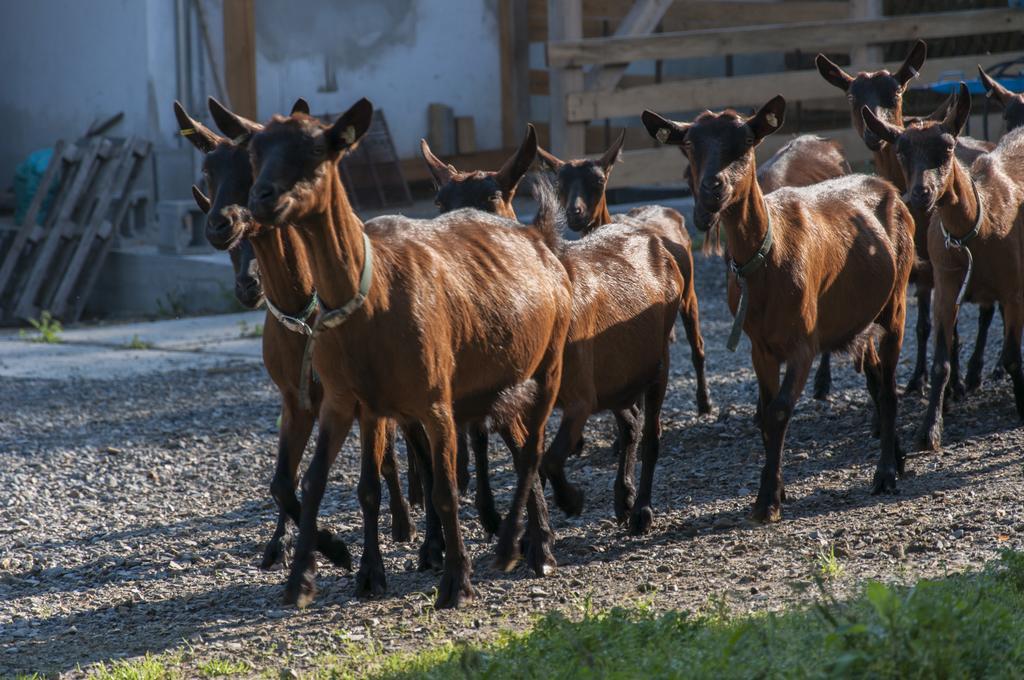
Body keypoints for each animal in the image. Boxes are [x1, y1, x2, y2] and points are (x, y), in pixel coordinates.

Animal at [174, 100, 413, 573]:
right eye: (209, 169)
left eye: (250, 165)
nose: (219, 225)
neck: (305, 305)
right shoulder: (295, 398)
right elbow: (284, 483)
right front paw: (320, 546)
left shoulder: (356, 397)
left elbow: (367, 477)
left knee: (395, 453)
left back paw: (406, 522)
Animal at [239, 98, 577, 606]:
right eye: (255, 152)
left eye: (317, 150)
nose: (261, 198)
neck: (373, 293)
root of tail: (538, 239)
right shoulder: (345, 400)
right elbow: (320, 482)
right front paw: (307, 577)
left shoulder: (435, 400)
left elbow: (445, 489)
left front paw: (456, 581)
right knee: (520, 448)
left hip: (547, 364)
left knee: (531, 449)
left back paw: (521, 548)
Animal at [643, 95, 917, 520]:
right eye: (689, 145)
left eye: (745, 142)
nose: (712, 190)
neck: (767, 256)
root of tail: (886, 185)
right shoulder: (761, 347)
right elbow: (763, 412)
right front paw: (777, 488)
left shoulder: (804, 343)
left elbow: (779, 411)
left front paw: (766, 500)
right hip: (861, 317)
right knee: (875, 380)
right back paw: (899, 458)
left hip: (896, 301)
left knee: (888, 389)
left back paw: (886, 473)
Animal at [819, 41, 995, 393]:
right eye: (852, 97)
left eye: (897, 92)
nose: (876, 132)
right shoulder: (919, 269)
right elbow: (923, 325)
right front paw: (916, 379)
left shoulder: (940, 265)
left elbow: (946, 326)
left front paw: (953, 383)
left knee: (986, 311)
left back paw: (974, 373)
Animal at [868, 82, 1024, 448]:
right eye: (901, 152)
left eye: (948, 147)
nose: (920, 194)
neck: (976, 226)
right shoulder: (946, 286)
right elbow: (941, 363)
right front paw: (929, 430)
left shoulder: (1012, 288)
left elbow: (1012, 356)